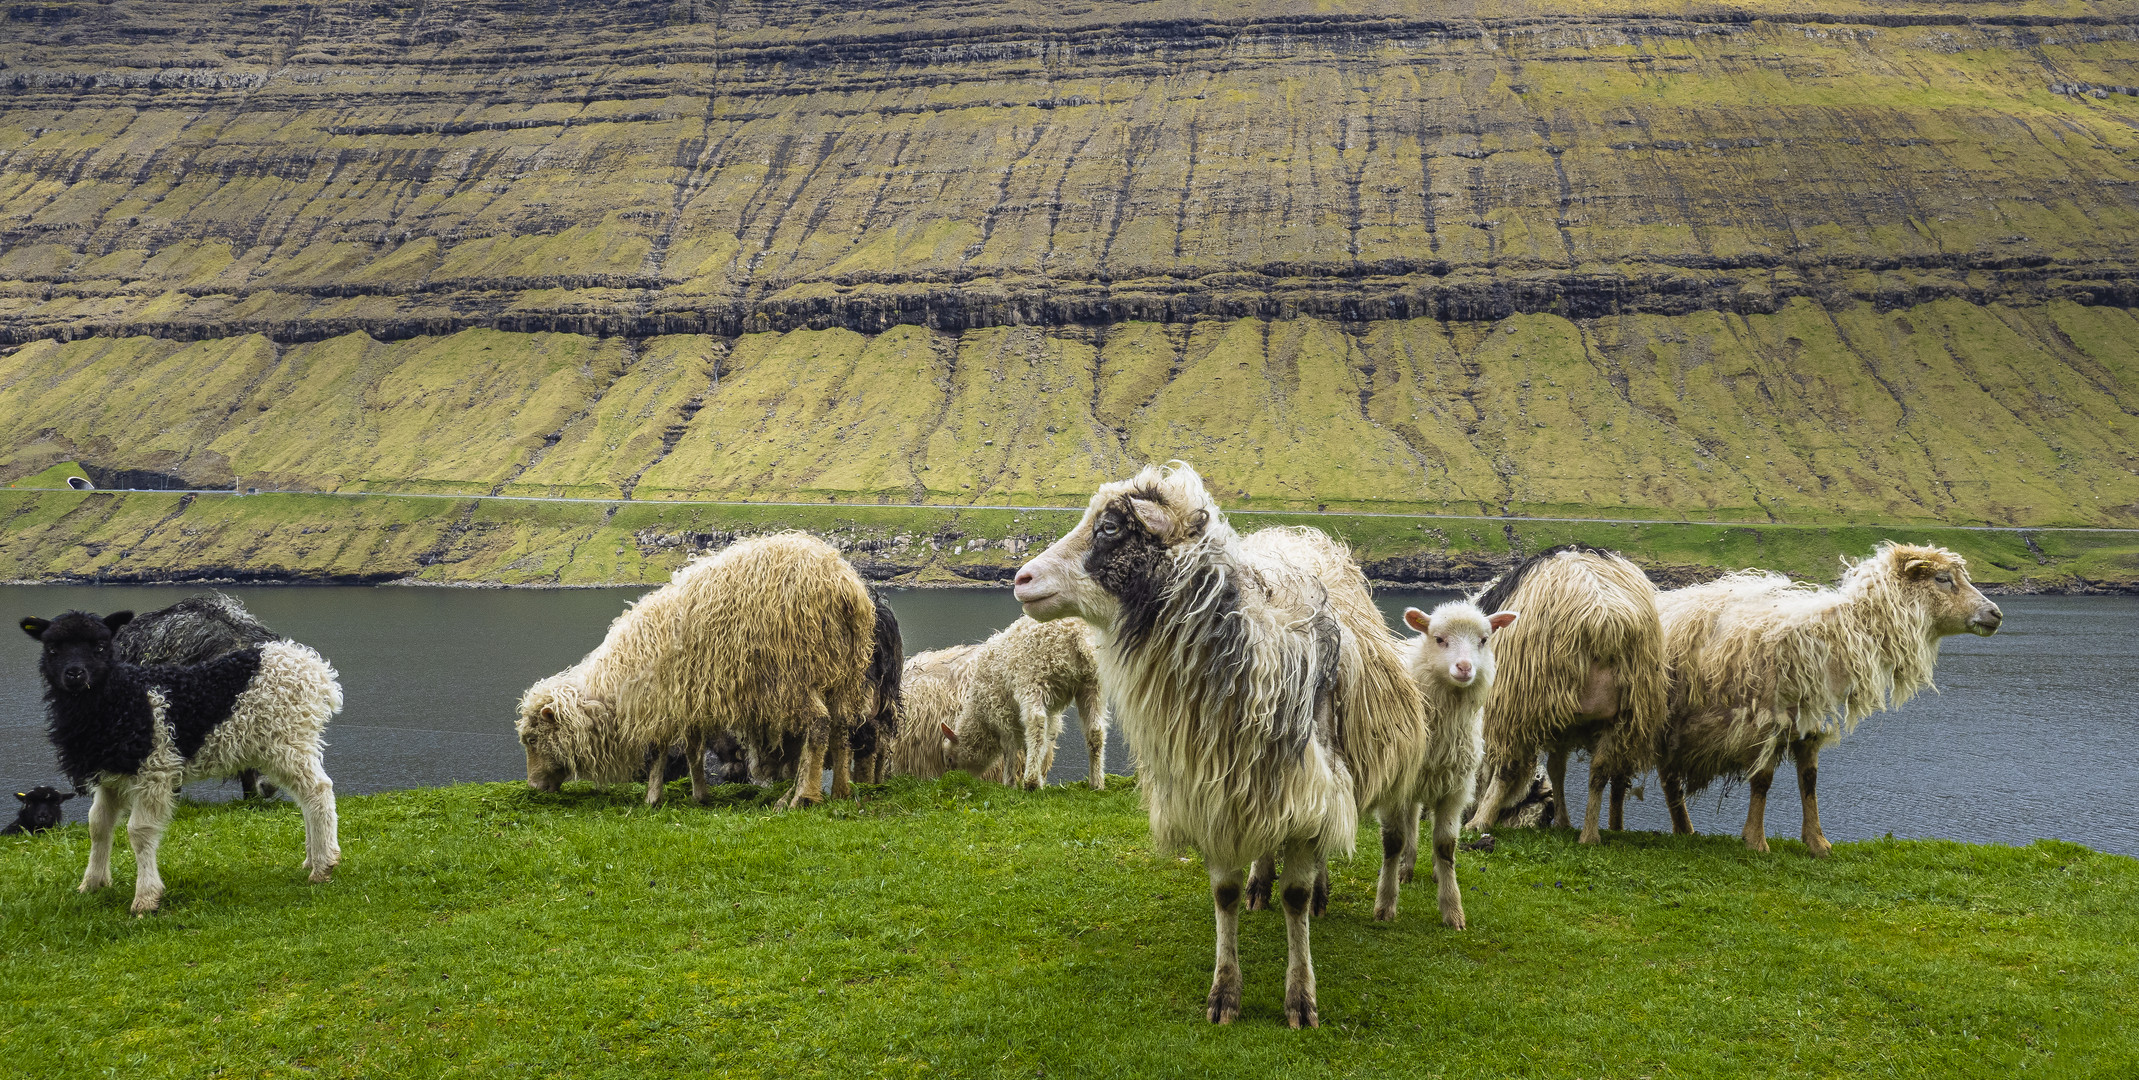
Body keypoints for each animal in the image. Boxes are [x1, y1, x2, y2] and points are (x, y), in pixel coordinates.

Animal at [515, 530, 876, 808]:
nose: (534, 787)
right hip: (843, 672)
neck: (614, 687)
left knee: (818, 726)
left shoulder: (660, 701)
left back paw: (803, 796)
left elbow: (659, 753)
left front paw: (652, 798)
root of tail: (842, 583)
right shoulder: (690, 700)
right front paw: (700, 795)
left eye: (532, 739)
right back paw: (840, 791)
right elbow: (692, 751)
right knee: (841, 728)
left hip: (793, 675)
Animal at [1471, 547, 1668, 842]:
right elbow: (1557, 769)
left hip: (1520, 699)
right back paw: (1589, 835)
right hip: (1624, 711)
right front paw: (1563, 821)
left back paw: (1479, 821)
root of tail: (1602, 614)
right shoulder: (1562, 723)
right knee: (1598, 771)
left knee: (1508, 766)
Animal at [1651, 543, 2002, 855]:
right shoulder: (1765, 722)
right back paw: (1681, 828)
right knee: (1669, 780)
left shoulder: (1809, 721)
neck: (1833, 633)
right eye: (1942, 579)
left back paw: (1683, 830)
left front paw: (1817, 843)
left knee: (1668, 777)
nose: (1996, 614)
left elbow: (1810, 782)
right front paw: (1756, 842)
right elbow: (1762, 781)